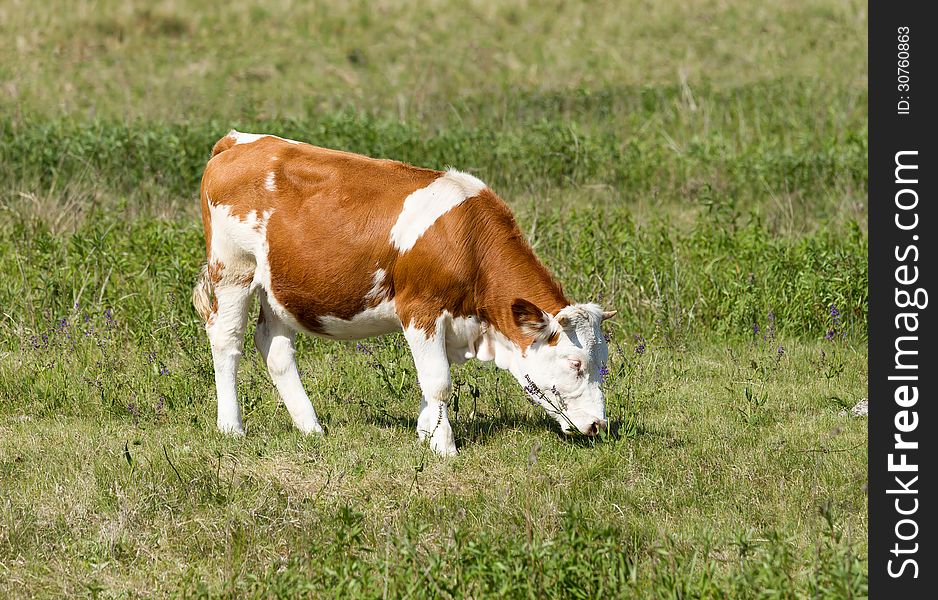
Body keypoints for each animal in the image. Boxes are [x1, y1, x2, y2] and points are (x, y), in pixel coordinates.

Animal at [192, 127, 616, 454]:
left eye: (602, 361)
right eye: (575, 364)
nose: (598, 424)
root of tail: (238, 141)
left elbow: (432, 382)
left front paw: (426, 432)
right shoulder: (420, 310)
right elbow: (439, 381)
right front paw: (444, 447)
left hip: (280, 287)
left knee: (274, 348)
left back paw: (310, 427)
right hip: (233, 270)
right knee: (227, 340)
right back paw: (231, 427)